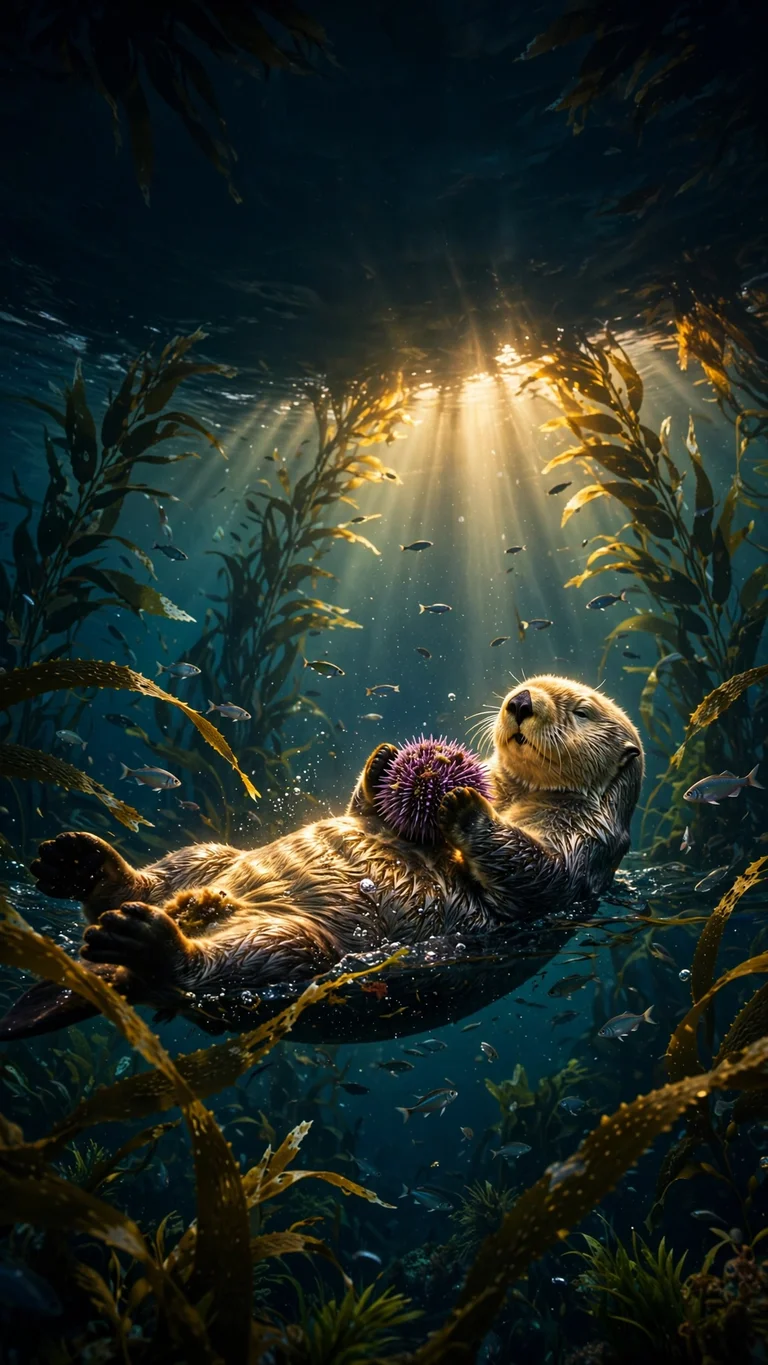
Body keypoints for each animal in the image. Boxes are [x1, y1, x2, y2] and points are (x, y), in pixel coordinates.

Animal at [0, 676, 643, 1041]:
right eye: (526, 683)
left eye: (581, 711)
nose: (520, 701)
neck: (513, 792)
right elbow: (370, 813)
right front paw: (385, 762)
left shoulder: (581, 847)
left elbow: (534, 874)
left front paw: (461, 801)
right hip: (208, 858)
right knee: (148, 883)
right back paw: (77, 863)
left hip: (292, 952)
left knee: (202, 970)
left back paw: (143, 941)